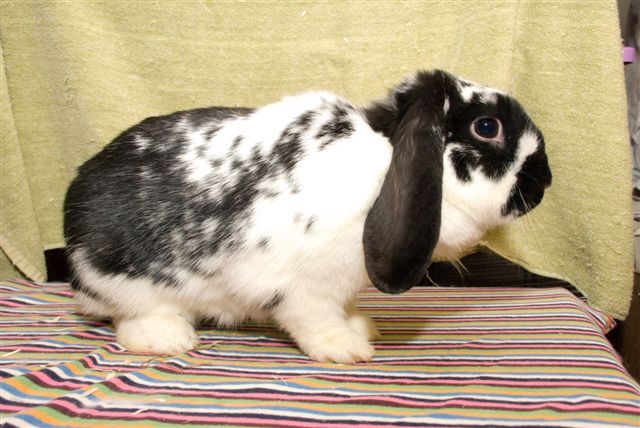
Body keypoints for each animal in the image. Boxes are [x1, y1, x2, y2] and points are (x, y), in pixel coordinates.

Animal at [64, 70, 552, 363]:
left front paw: (362, 327)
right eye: (486, 127)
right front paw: (347, 348)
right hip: (137, 285)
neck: (383, 162)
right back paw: (169, 339)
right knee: (131, 319)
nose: (544, 181)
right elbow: (314, 320)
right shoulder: (302, 289)